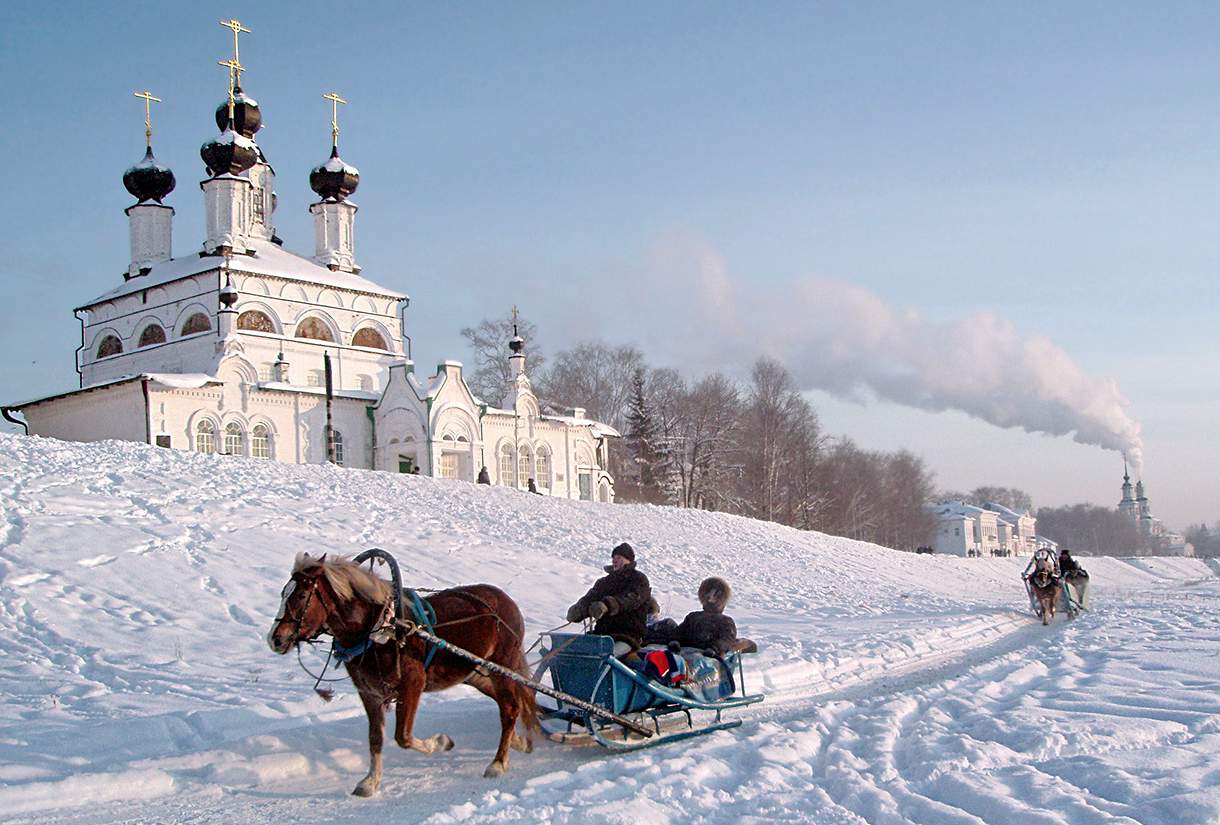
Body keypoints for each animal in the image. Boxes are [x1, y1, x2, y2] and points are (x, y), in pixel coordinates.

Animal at [267, 554, 539, 790]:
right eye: (283, 593)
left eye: (302, 594)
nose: (275, 639)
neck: (379, 629)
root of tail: (507, 601)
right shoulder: (370, 693)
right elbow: (375, 737)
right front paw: (370, 782)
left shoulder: (412, 685)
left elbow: (403, 737)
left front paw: (440, 743)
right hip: (477, 675)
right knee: (510, 705)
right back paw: (520, 741)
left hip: (502, 668)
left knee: (510, 709)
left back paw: (498, 763)